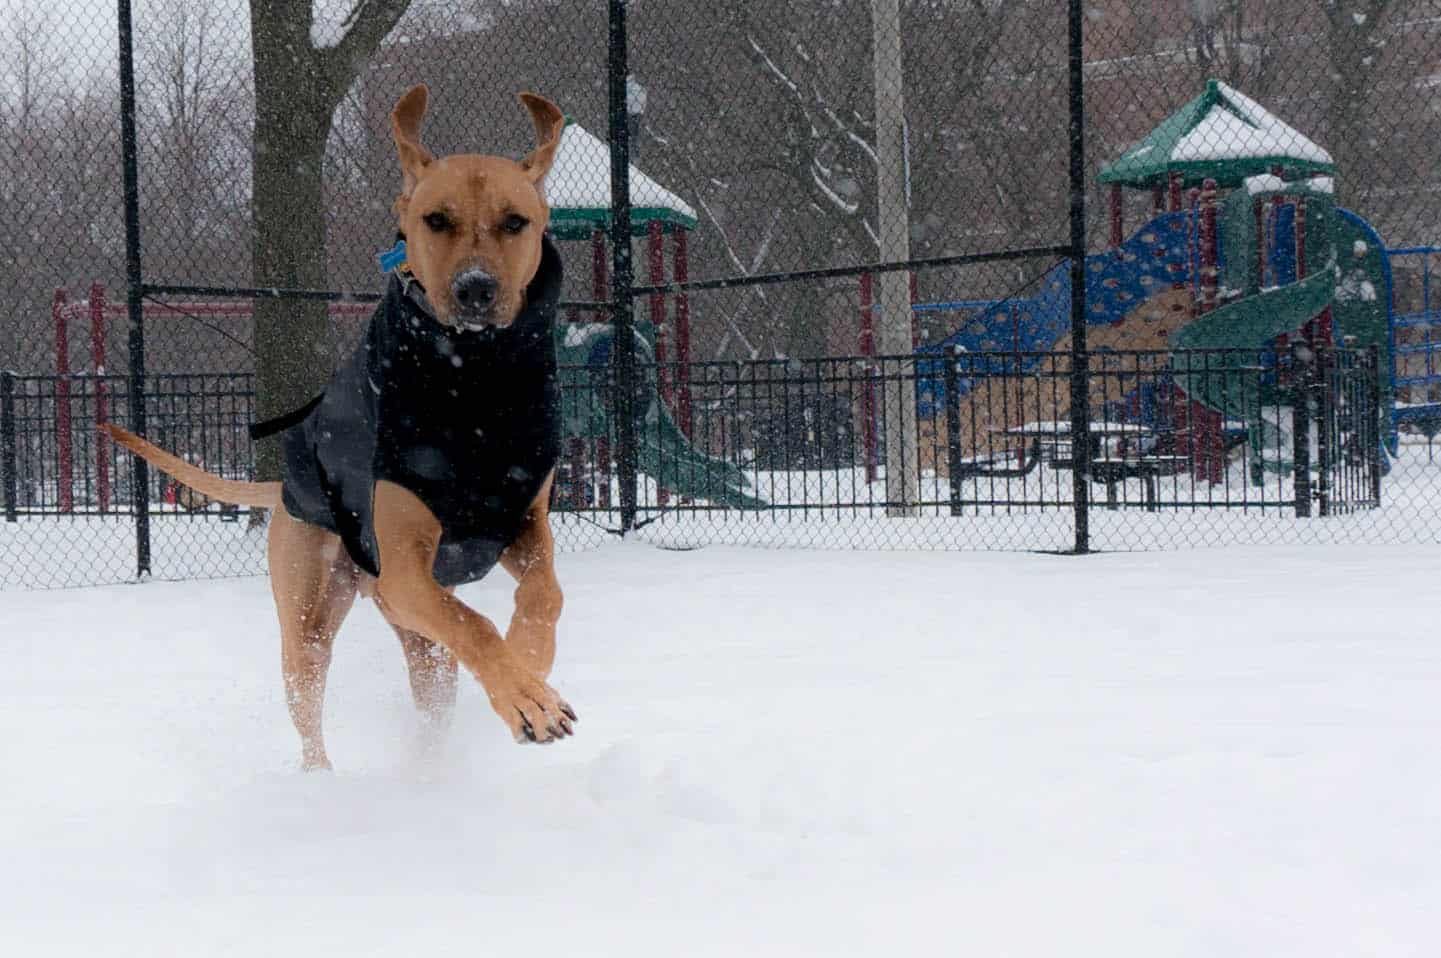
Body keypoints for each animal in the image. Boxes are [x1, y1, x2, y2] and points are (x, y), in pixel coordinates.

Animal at [105, 83, 573, 772]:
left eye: (516, 222)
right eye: (436, 220)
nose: (476, 289)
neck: (472, 381)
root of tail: (282, 489)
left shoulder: (521, 523)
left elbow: (543, 595)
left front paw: (531, 666)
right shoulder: (405, 566)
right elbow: (475, 623)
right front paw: (525, 694)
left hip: (414, 635)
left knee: (436, 680)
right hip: (312, 616)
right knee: (311, 703)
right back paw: (322, 783)